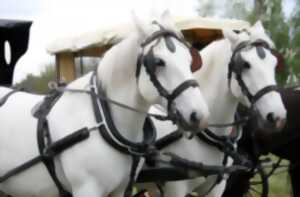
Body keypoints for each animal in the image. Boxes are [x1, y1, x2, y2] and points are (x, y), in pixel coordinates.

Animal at [0, 11, 209, 195]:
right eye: (158, 61)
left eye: (190, 59)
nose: (199, 115)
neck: (103, 120)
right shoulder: (86, 189)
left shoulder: (120, 188)